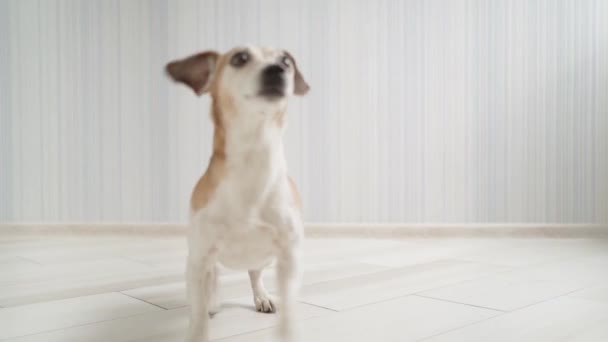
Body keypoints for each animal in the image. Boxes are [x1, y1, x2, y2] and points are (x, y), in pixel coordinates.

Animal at [165, 46, 308, 342]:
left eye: (286, 60)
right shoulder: (198, 259)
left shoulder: (289, 257)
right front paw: (201, 322)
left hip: (264, 258)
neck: (254, 158)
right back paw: (212, 301)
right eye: (240, 58)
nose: (278, 69)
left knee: (254, 273)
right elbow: (198, 319)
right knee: (213, 279)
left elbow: (288, 315)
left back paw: (262, 296)